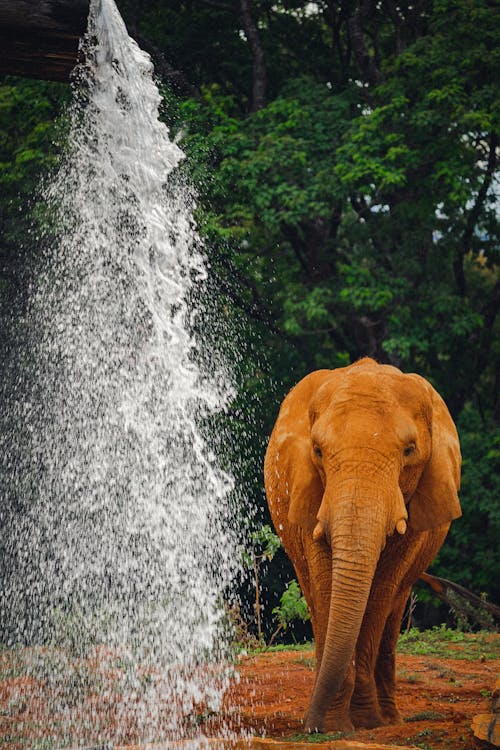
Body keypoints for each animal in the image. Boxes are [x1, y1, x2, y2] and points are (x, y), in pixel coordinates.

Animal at [264, 358, 462, 736]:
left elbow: (380, 591)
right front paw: (334, 725)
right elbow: (326, 584)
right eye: (317, 451)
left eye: (409, 451)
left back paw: (389, 718)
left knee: (394, 605)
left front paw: (366, 722)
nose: (310, 728)